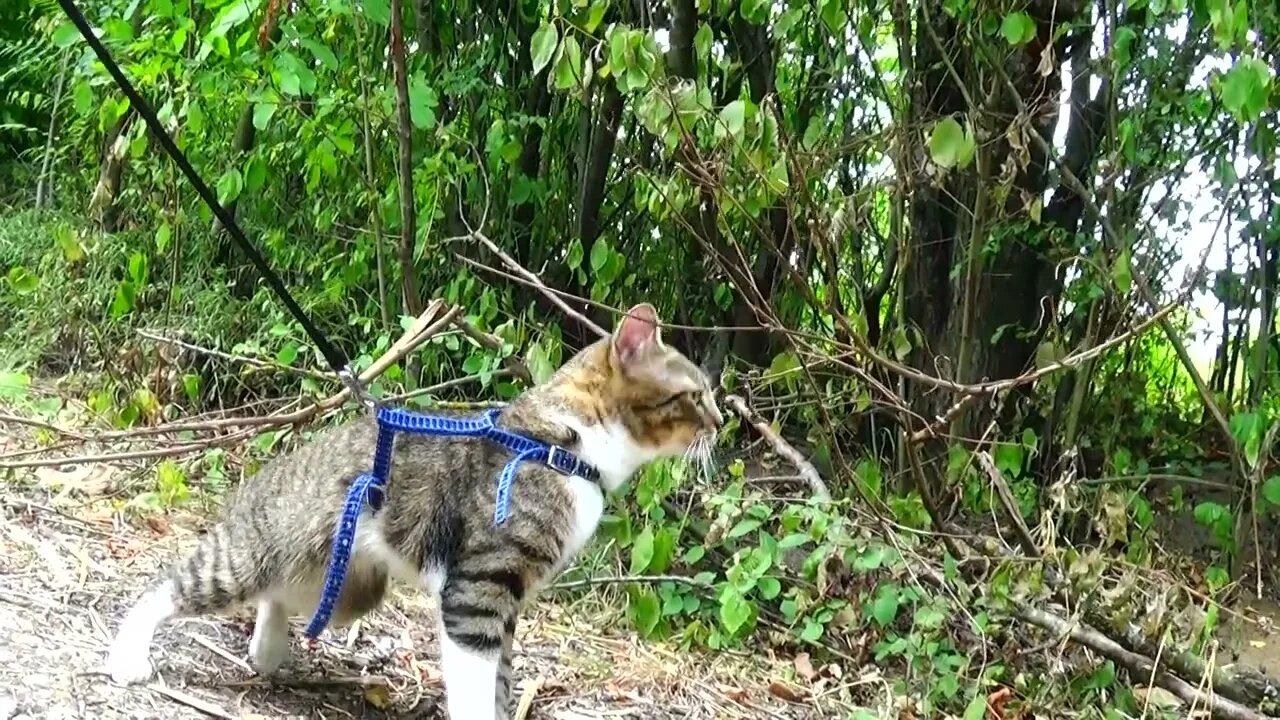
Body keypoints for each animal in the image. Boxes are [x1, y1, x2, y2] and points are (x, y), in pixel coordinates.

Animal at [102, 301, 721, 717]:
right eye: (696, 395)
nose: (721, 423)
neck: (568, 444)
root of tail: (267, 471)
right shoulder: (479, 588)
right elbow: (476, 683)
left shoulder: (511, 600)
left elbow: (502, 683)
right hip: (256, 556)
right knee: (172, 587)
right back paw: (130, 655)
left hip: (347, 589)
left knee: (281, 599)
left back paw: (267, 650)